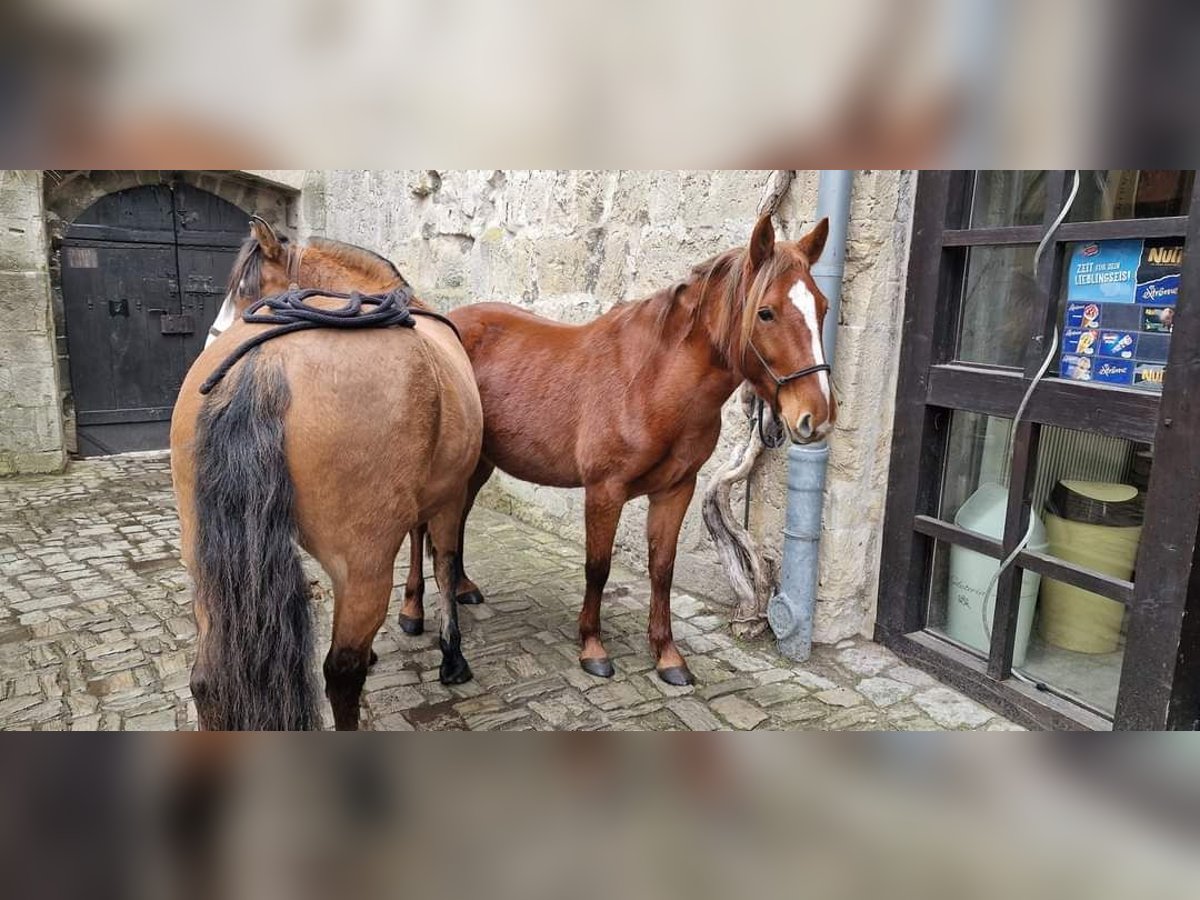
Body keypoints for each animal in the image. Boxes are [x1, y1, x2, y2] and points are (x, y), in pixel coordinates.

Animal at [170, 220, 487, 734]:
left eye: (248, 290)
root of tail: (266, 361)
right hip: (364, 562)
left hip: (204, 564)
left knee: (207, 680)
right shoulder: (448, 497)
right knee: (341, 673)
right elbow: (444, 560)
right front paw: (452, 656)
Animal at [403, 214, 835, 686]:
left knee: (458, 519)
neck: (651, 381)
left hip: (479, 462)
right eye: (766, 312)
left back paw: (462, 587)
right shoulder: (604, 492)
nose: (816, 415)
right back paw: (412, 610)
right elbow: (598, 566)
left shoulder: (676, 490)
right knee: (419, 529)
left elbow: (662, 569)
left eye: (823, 308)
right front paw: (592, 646)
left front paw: (667, 655)